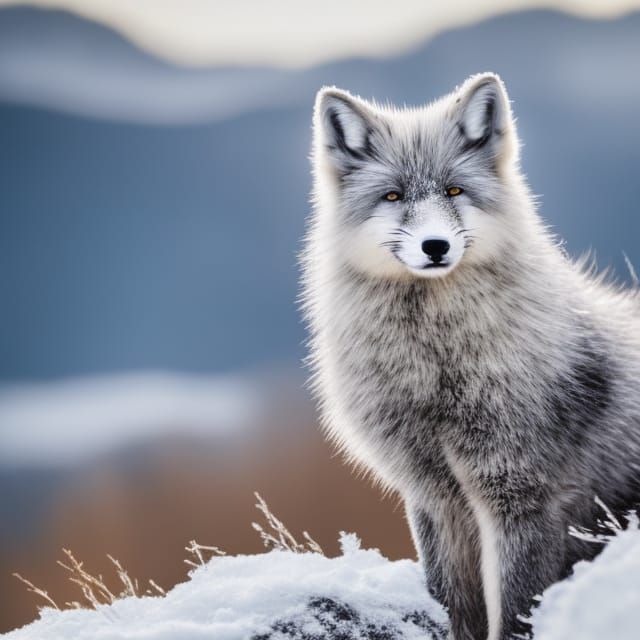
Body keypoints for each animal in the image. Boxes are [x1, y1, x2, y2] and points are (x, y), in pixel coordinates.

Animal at [301, 72, 640, 640]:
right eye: (393, 195)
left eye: (455, 191)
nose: (435, 246)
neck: (438, 372)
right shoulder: (434, 495)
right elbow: (452, 602)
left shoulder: (520, 494)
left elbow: (517, 610)